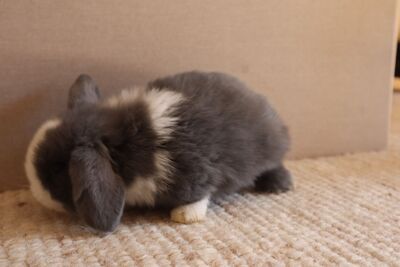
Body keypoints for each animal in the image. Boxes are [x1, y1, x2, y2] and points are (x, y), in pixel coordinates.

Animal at [25, 71, 294, 232]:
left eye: (56, 171)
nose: (35, 193)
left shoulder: (196, 172)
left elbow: (201, 193)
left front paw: (185, 215)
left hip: (269, 148)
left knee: (274, 164)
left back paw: (280, 185)